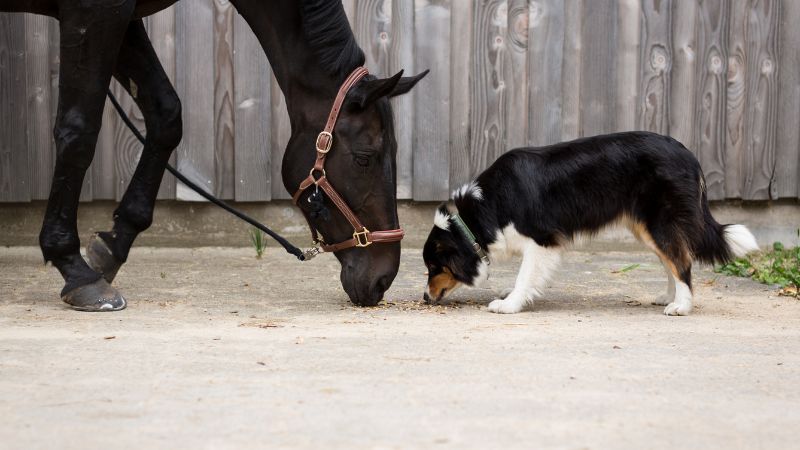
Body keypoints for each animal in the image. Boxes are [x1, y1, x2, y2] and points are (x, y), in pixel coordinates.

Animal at [3, 0, 428, 310]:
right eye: (363, 158)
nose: (383, 278)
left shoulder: (123, 15)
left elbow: (166, 114)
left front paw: (111, 248)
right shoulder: (93, 13)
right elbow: (78, 133)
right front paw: (75, 270)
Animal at [422, 131, 760, 316]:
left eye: (435, 267)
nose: (424, 298)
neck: (478, 214)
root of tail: (690, 156)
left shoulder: (541, 241)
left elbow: (525, 276)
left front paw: (509, 304)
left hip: (660, 222)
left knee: (682, 261)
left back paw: (681, 306)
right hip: (647, 228)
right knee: (673, 260)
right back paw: (670, 296)